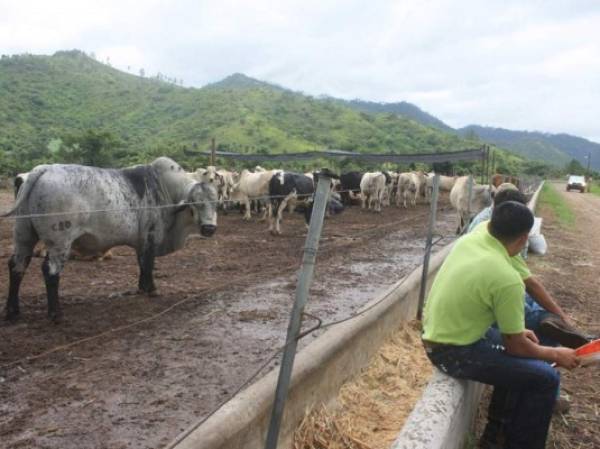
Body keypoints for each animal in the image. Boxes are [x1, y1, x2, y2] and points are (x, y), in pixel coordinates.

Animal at [2, 156, 218, 320]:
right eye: (195, 204)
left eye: (216, 203)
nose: (209, 228)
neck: (166, 188)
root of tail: (42, 169)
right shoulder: (151, 236)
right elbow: (148, 264)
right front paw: (152, 290)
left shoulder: (141, 242)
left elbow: (142, 264)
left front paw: (142, 288)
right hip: (59, 242)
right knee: (50, 271)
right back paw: (56, 313)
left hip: (23, 235)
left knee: (17, 266)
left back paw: (13, 311)